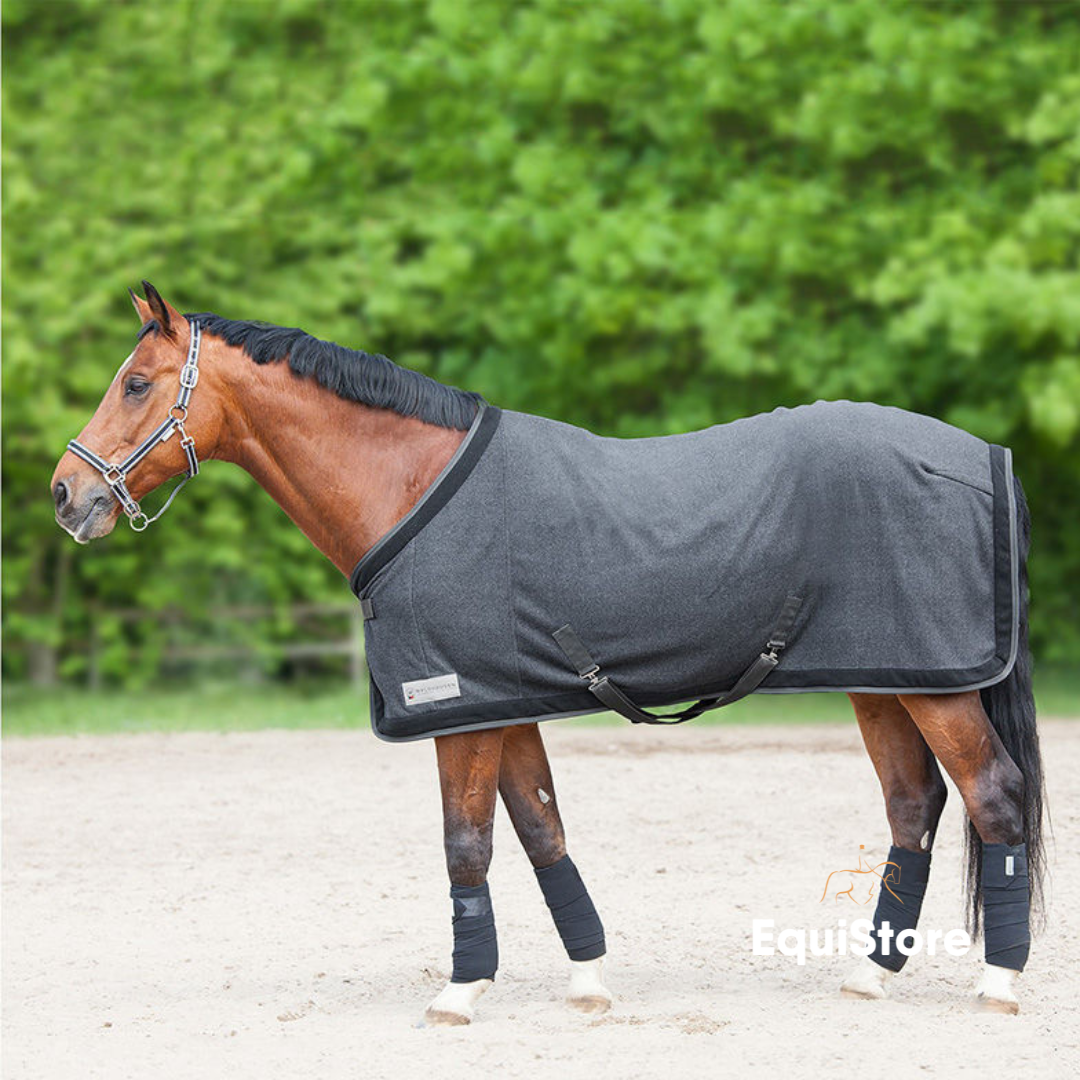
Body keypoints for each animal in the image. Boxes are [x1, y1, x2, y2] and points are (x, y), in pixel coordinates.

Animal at [51, 283, 1045, 1022]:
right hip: (885, 681)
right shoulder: (503, 700)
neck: (408, 485)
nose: (65, 495)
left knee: (992, 795)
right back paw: (871, 975)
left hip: (937, 689)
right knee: (914, 804)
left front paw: (459, 992)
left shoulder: (456, 710)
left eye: (135, 383)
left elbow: (466, 844)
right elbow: (539, 830)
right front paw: (588, 981)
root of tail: (980, 459)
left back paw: (999, 984)